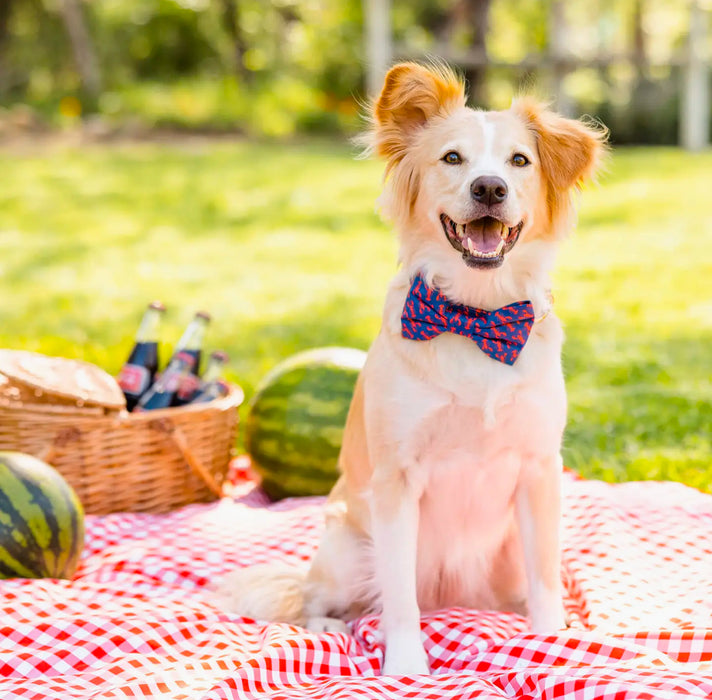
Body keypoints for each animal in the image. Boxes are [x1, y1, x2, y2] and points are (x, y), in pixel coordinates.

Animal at [218, 63, 608, 676]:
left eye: (519, 161)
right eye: (452, 158)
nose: (489, 188)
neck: (475, 318)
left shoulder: (539, 469)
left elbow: (547, 583)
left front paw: (553, 645)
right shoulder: (396, 481)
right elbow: (400, 596)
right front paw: (405, 668)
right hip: (347, 546)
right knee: (319, 600)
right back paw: (330, 626)